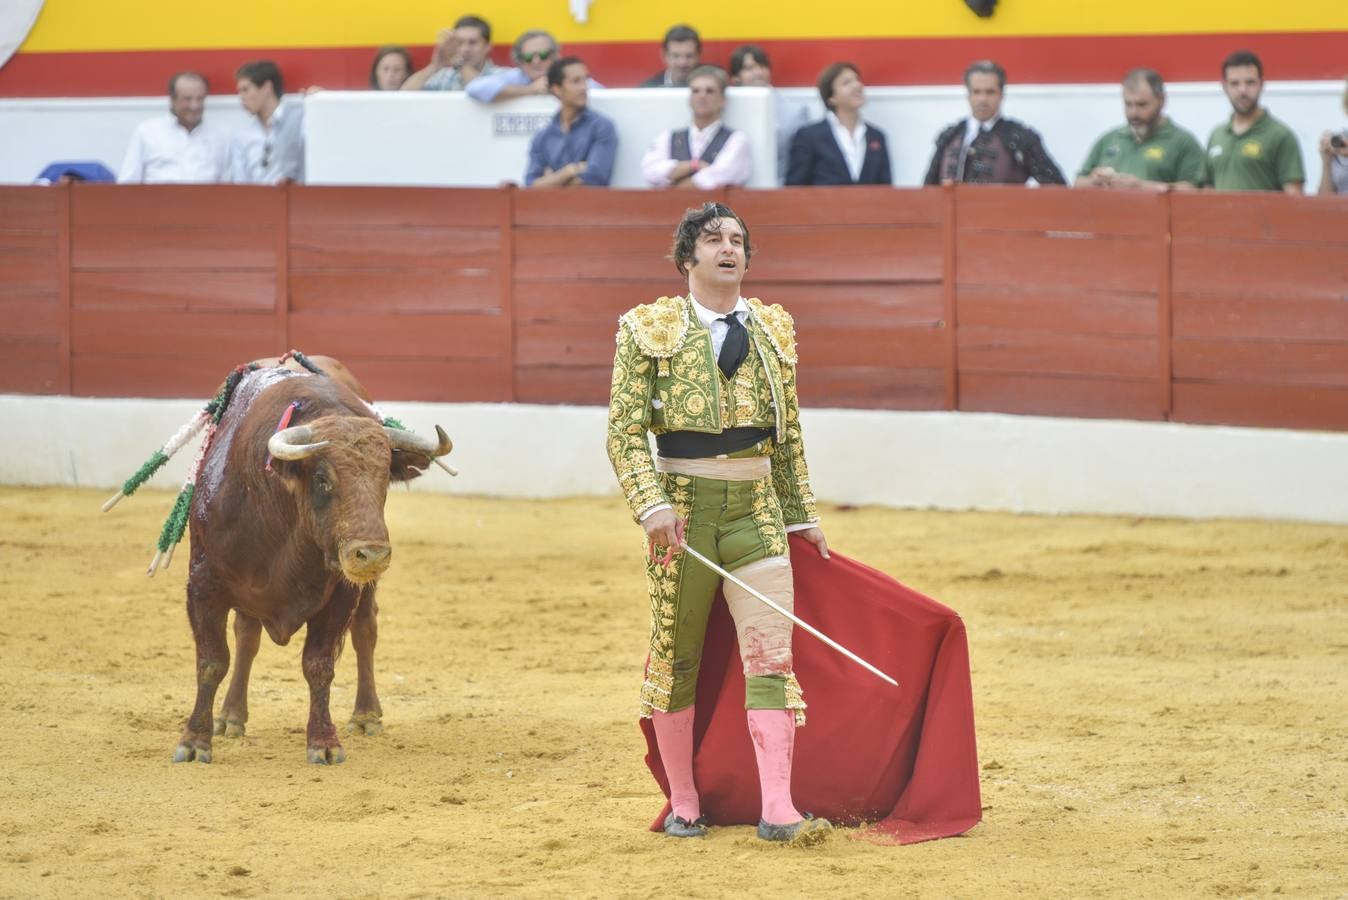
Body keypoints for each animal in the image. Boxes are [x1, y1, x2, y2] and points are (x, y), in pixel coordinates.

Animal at [169, 355, 447, 765]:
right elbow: (212, 661)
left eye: (384, 478)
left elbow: (319, 665)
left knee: (365, 630)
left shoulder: (341, 595)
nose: (371, 554)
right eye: (322, 479)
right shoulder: (203, 587)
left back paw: (366, 715)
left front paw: (324, 742)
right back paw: (231, 716)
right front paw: (194, 741)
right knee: (246, 637)